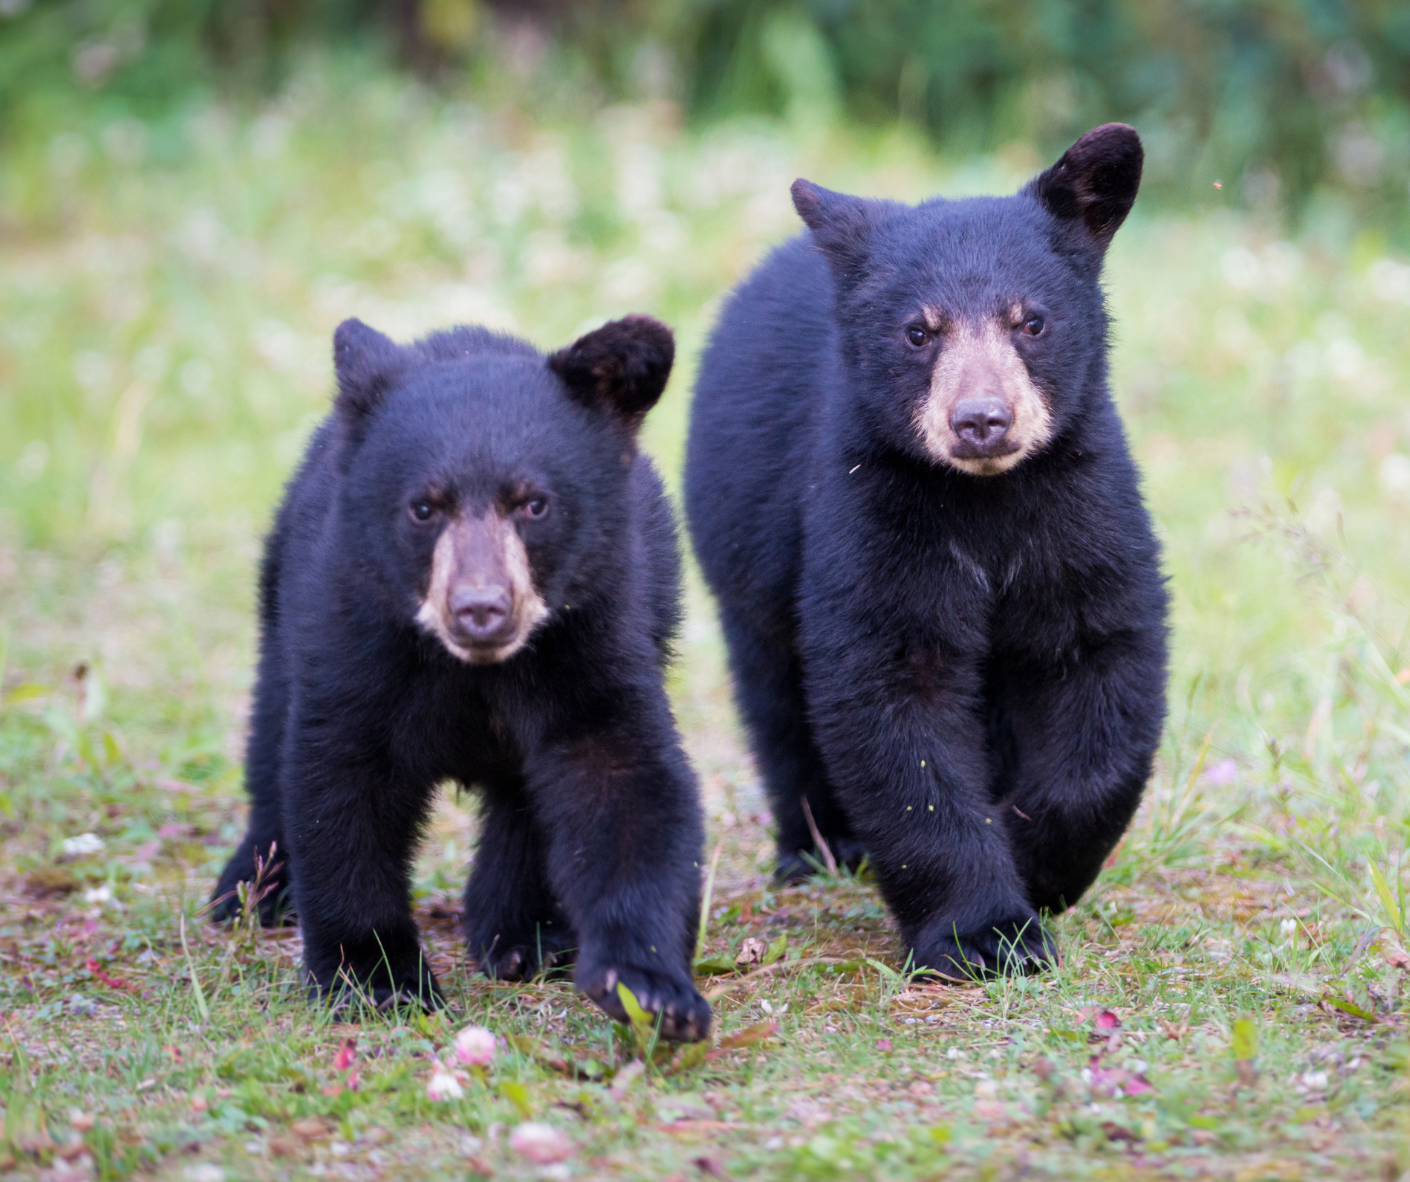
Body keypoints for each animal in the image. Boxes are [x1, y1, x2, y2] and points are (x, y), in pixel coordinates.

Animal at [211, 313, 711, 1040]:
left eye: (533, 504)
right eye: (424, 508)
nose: (481, 608)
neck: (472, 669)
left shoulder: (597, 634)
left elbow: (624, 782)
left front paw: (651, 987)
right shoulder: (352, 633)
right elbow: (341, 785)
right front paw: (375, 977)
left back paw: (526, 935)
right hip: (280, 600)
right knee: (270, 731)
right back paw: (252, 888)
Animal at [683, 124, 1168, 979]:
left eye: (1030, 321)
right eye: (919, 331)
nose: (981, 420)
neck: (986, 500)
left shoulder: (1082, 504)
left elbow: (1101, 662)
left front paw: (1036, 861)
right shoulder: (873, 511)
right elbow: (893, 699)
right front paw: (985, 932)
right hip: (746, 551)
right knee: (777, 695)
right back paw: (819, 846)